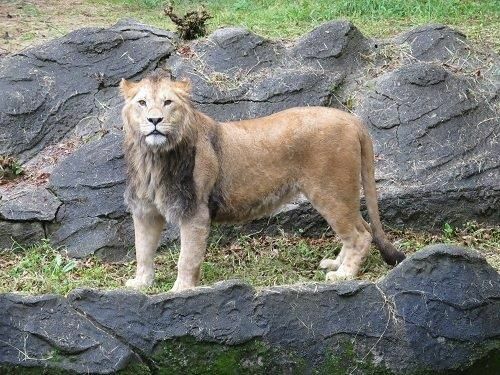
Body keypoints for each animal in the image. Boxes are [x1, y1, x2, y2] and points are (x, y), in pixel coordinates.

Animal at [119, 71, 404, 294]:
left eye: (168, 102)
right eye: (142, 103)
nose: (154, 120)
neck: (153, 158)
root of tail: (353, 120)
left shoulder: (194, 211)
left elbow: (187, 257)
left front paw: (181, 289)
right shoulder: (145, 211)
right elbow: (142, 250)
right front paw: (140, 283)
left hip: (331, 192)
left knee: (360, 234)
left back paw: (344, 274)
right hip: (340, 194)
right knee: (362, 227)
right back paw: (336, 264)